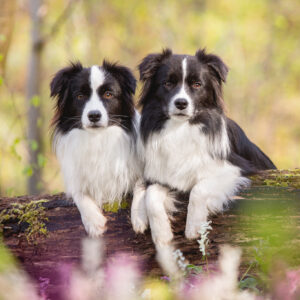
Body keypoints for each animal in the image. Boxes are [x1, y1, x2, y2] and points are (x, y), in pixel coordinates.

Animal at [50, 62, 142, 238]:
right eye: (80, 96)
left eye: (108, 94)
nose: (94, 115)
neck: (98, 138)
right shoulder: (75, 176)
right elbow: (80, 193)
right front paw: (93, 221)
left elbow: (141, 186)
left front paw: (140, 216)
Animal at [131, 49, 276, 270]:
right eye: (168, 83)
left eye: (197, 84)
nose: (181, 103)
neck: (181, 128)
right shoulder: (166, 174)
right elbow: (151, 194)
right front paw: (162, 234)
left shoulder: (235, 168)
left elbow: (199, 189)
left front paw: (194, 227)